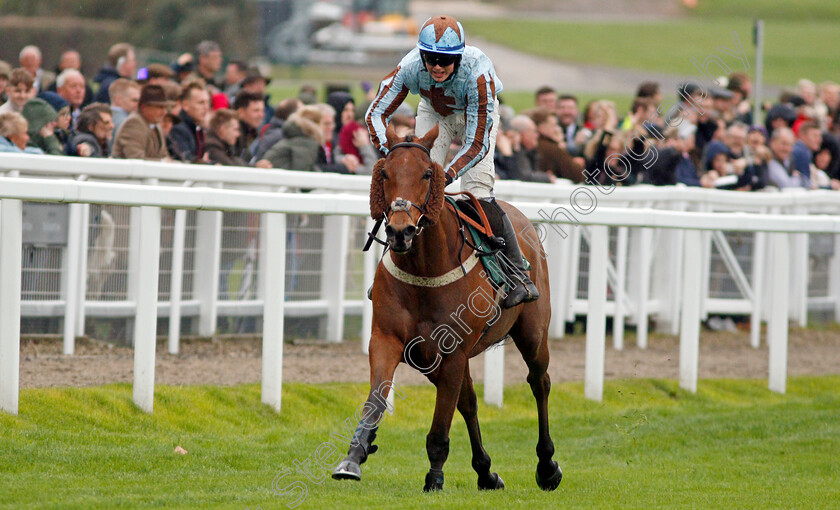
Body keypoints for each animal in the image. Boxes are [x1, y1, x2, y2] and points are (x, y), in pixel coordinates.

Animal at [332, 121, 560, 492]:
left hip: (533, 333)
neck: (425, 267)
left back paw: (547, 466)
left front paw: (434, 478)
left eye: (427, 173)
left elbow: (440, 425)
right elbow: (377, 399)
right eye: (385, 174)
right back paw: (486, 471)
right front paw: (354, 456)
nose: (400, 231)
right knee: (468, 402)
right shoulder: (388, 340)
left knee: (539, 383)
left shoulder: (453, 352)